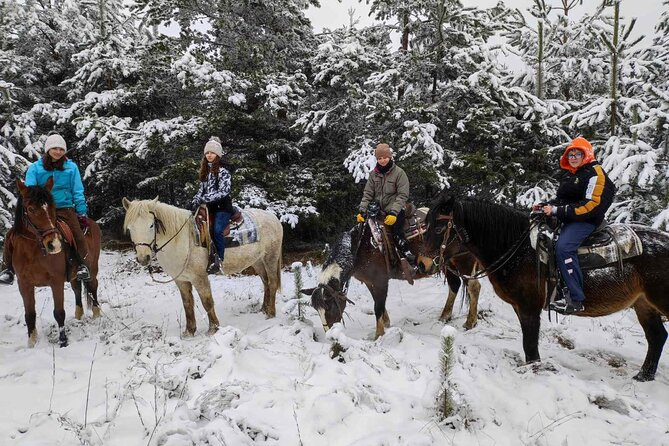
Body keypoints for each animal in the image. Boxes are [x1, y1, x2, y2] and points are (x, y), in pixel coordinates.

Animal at [11, 178, 101, 347]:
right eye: (31, 209)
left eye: (52, 207)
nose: (54, 244)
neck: (33, 252)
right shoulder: (24, 284)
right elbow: (29, 314)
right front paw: (32, 343)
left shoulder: (56, 281)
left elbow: (59, 313)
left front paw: (63, 341)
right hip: (74, 274)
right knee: (77, 288)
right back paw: (78, 315)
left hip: (92, 268)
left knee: (93, 286)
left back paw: (97, 314)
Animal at [122, 197, 283, 336]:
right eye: (130, 229)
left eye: (151, 225)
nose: (143, 258)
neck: (183, 240)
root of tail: (273, 218)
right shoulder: (181, 280)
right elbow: (187, 304)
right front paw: (189, 332)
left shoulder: (200, 277)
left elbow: (207, 302)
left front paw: (213, 329)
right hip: (258, 261)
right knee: (266, 283)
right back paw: (264, 309)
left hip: (270, 258)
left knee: (272, 282)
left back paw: (270, 313)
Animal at [300, 218, 482, 338]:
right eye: (316, 309)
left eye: (330, 306)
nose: (329, 334)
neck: (360, 248)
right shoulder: (370, 282)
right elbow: (378, 303)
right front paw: (386, 323)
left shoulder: (381, 281)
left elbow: (378, 307)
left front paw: (379, 335)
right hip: (448, 264)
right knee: (455, 285)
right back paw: (445, 316)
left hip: (464, 262)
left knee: (473, 287)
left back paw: (470, 322)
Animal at [418, 194, 669, 381]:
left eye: (439, 228)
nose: (422, 263)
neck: (518, 251)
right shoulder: (520, 307)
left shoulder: (530, 307)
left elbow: (530, 345)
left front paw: (534, 371)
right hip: (643, 304)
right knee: (657, 337)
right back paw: (643, 376)